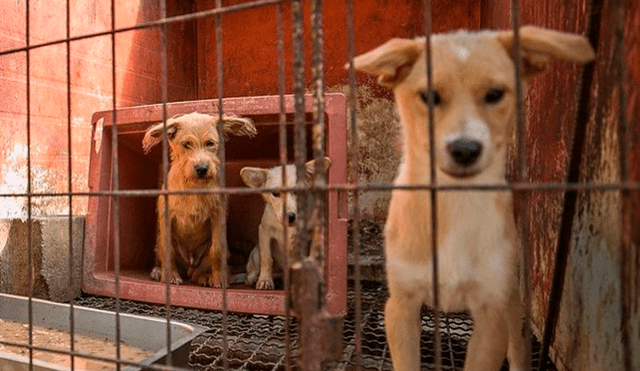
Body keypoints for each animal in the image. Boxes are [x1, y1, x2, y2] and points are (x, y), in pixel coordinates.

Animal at [143, 112, 258, 288]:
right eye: (186, 144)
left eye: (210, 143)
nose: (202, 169)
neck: (194, 187)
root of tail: (190, 262)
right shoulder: (167, 218)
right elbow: (167, 251)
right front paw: (171, 277)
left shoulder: (217, 217)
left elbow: (217, 250)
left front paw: (219, 279)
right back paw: (158, 271)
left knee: (196, 273)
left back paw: (205, 277)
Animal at [239, 157, 330, 290]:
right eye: (275, 193)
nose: (290, 216)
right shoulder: (264, 231)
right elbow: (267, 259)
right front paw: (265, 280)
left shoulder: (316, 229)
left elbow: (313, 256)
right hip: (256, 252)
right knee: (249, 276)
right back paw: (258, 279)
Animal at [352, 26, 592, 371]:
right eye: (430, 96)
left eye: (495, 94)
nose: (465, 150)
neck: (455, 202)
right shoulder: (401, 305)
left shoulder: (491, 314)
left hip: (512, 303)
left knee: (518, 350)